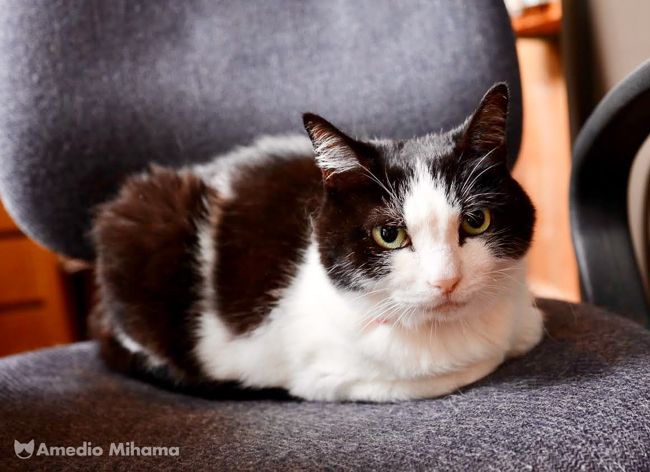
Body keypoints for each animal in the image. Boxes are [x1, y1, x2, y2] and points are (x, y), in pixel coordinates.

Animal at [91, 84, 540, 402]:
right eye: (390, 235)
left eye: (476, 221)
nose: (446, 281)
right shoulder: (327, 375)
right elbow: (451, 371)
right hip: (139, 217)